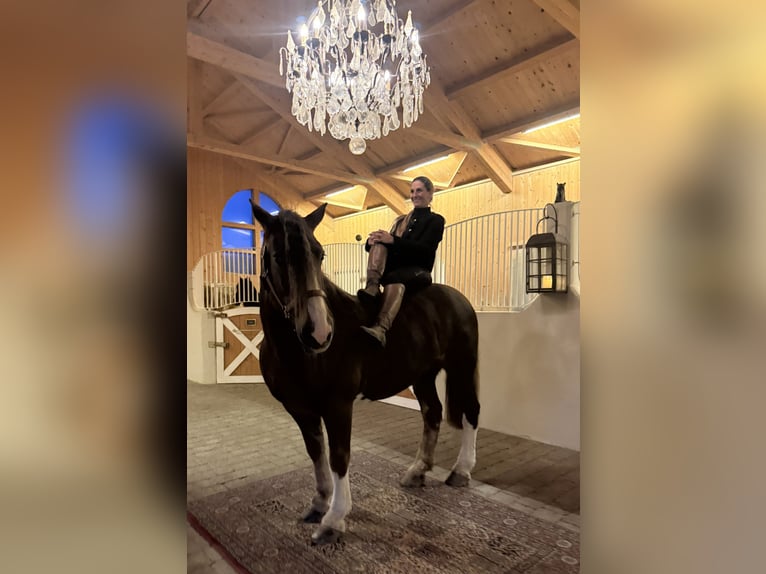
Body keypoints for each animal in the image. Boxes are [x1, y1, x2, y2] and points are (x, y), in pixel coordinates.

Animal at [250, 199, 481, 545]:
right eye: (278, 256)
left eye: (320, 254)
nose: (319, 332)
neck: (295, 351)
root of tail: (458, 299)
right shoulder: (300, 409)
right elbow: (316, 453)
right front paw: (319, 504)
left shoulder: (338, 405)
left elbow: (339, 457)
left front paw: (334, 519)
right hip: (423, 375)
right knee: (433, 412)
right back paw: (417, 471)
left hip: (462, 366)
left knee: (471, 413)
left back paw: (461, 471)